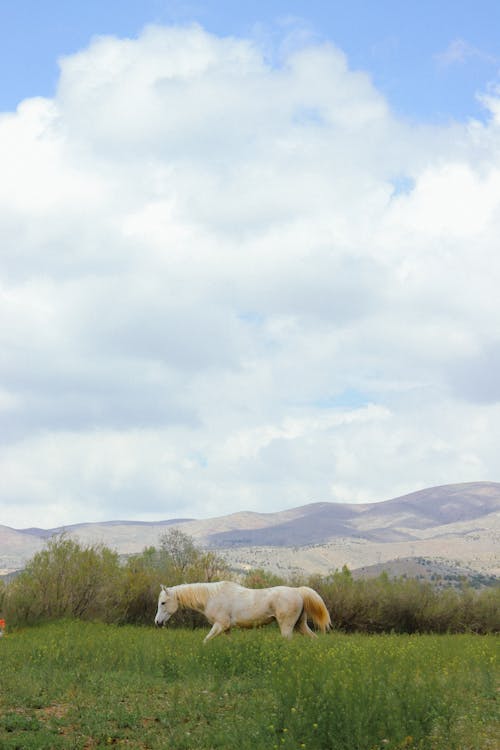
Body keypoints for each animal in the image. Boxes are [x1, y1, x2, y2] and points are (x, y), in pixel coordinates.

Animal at [154, 580, 330, 648]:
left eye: (163, 603)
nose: (157, 622)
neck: (212, 597)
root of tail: (298, 591)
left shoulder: (220, 625)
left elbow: (205, 640)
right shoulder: (226, 629)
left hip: (287, 627)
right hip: (300, 625)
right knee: (314, 638)